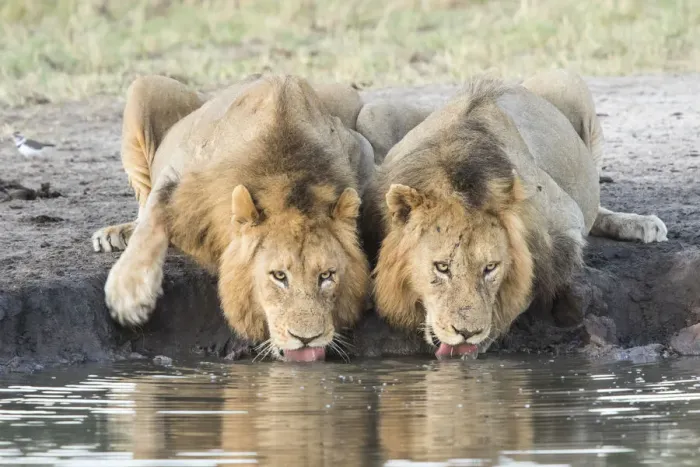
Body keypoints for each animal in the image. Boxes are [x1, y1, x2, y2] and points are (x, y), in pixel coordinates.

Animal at [91, 73, 374, 362]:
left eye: (327, 275)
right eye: (279, 276)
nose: (307, 339)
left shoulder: (361, 149)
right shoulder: (177, 171)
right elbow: (152, 218)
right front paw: (129, 293)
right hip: (145, 88)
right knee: (143, 201)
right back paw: (118, 234)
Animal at [360, 69, 668, 359]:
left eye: (490, 267)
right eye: (442, 267)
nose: (467, 333)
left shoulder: (565, 225)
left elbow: (530, 282)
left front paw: (486, 336)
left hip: (567, 80)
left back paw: (640, 224)